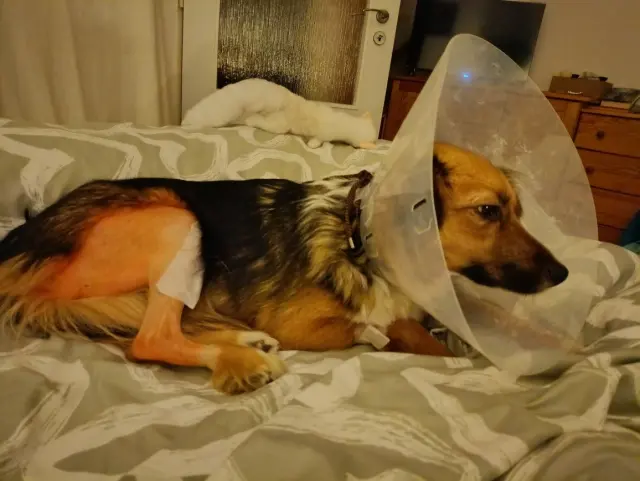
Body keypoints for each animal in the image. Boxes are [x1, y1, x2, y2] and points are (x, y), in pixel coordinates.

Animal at [0, 143, 568, 394]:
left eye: (520, 211)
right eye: (488, 211)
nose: (562, 275)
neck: (360, 235)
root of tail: (24, 241)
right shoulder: (302, 323)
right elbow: (391, 328)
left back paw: (244, 343)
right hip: (176, 219)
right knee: (149, 339)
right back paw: (245, 360)